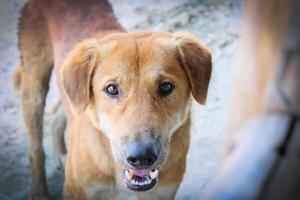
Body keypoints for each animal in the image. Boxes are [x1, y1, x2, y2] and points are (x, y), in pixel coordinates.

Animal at [13, 0, 211, 199]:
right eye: (112, 89)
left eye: (166, 87)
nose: (141, 157)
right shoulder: (77, 190)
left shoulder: (162, 193)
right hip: (34, 85)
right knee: (35, 149)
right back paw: (39, 192)